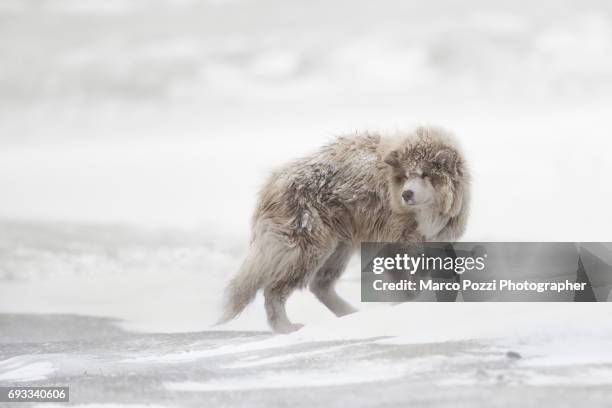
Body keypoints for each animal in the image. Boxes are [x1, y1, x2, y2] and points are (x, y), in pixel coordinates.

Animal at [219, 126, 468, 332]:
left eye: (425, 174)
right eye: (405, 176)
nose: (407, 194)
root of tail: (272, 182)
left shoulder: (434, 239)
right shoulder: (394, 240)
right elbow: (405, 280)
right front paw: (410, 304)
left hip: (339, 244)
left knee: (320, 284)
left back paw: (350, 314)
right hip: (308, 244)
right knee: (276, 289)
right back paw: (286, 326)